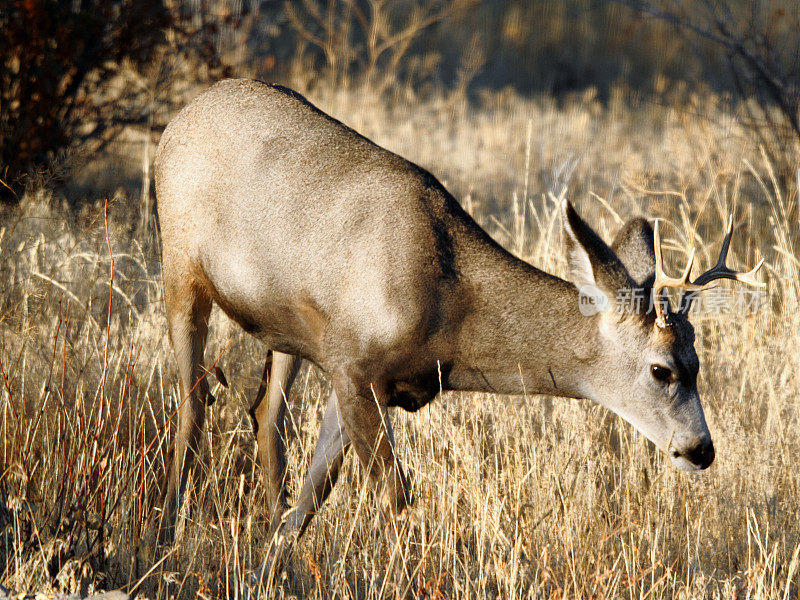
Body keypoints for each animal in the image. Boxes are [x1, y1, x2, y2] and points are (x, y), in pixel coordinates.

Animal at [155, 78, 764, 584]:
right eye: (662, 369)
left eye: (698, 363)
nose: (701, 449)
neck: (449, 314)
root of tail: (183, 113)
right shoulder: (352, 362)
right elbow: (396, 494)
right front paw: (403, 579)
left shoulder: (358, 374)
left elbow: (316, 489)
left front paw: (267, 571)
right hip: (180, 266)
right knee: (192, 402)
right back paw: (164, 537)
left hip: (284, 331)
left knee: (264, 414)